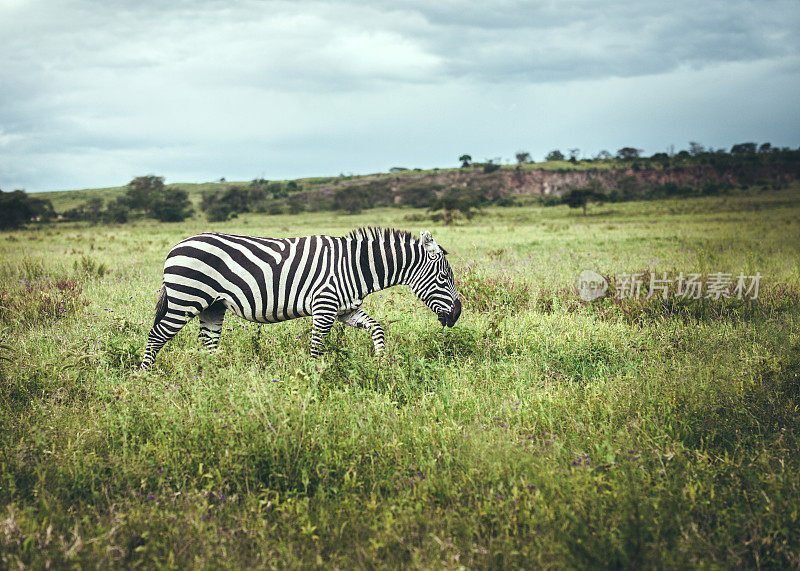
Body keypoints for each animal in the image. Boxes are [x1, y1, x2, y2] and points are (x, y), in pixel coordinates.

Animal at [141, 226, 460, 368]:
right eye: (444, 279)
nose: (457, 315)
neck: (356, 266)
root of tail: (176, 245)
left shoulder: (345, 310)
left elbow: (378, 328)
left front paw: (381, 363)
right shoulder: (325, 306)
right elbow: (317, 348)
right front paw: (315, 380)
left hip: (213, 306)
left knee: (208, 342)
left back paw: (215, 377)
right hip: (186, 299)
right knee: (156, 336)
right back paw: (145, 377)